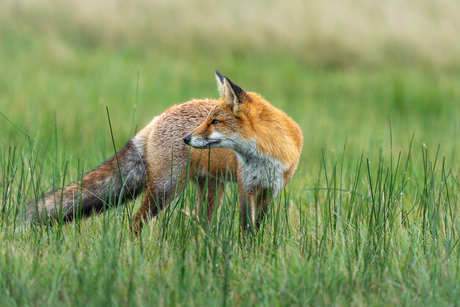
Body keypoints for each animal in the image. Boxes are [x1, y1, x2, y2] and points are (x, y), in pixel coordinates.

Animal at [27, 71, 304, 236]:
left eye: (215, 121)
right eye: (207, 120)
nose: (187, 138)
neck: (264, 158)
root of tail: (157, 117)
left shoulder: (269, 190)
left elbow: (257, 228)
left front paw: (254, 252)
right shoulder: (247, 188)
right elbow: (247, 227)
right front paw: (246, 255)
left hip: (211, 190)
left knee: (202, 223)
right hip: (166, 189)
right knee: (135, 221)